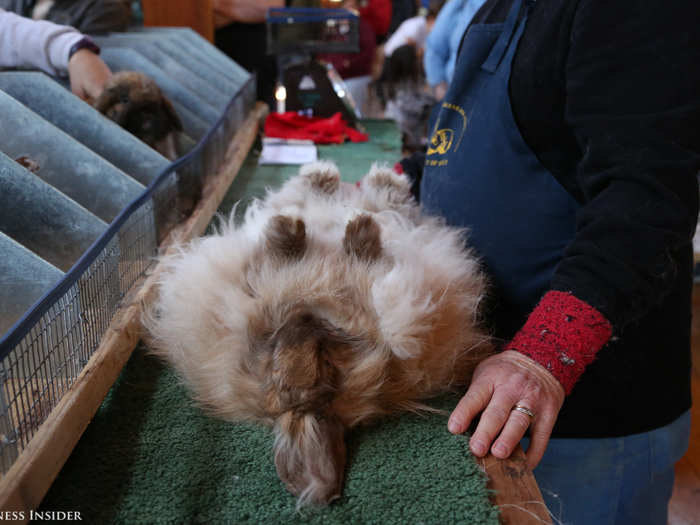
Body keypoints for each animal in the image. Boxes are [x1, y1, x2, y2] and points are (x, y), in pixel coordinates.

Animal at [142, 160, 492, 504]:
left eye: (325, 361)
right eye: (276, 366)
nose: (303, 321)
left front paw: (336, 227)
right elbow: (301, 258)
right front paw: (322, 228)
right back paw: (339, 185)